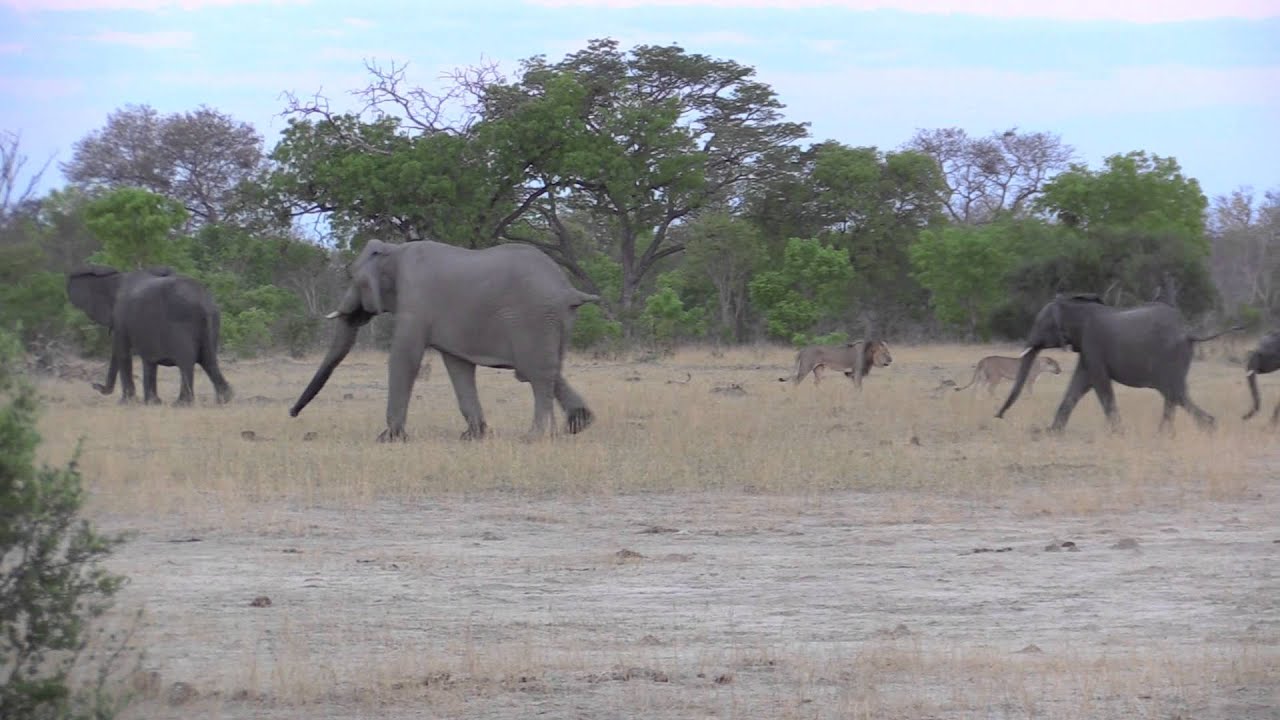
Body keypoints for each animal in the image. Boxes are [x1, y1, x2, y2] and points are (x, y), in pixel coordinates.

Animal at [67, 265, 233, 406]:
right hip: (213, 322)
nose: (95, 385)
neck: (116, 278)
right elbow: (149, 359)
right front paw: (153, 403)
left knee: (186, 362)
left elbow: (123, 353)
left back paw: (181, 404)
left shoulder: (121, 317)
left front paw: (127, 403)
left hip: (183, 322)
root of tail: (204, 300)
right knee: (208, 360)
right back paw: (224, 400)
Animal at [289, 239, 601, 442]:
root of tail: (569, 290)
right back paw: (580, 424)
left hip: (533, 318)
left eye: (354, 278)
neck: (395, 250)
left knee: (535, 374)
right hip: (553, 321)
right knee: (548, 369)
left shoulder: (415, 300)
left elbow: (404, 357)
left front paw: (388, 438)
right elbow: (457, 365)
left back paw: (534, 436)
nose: (292, 414)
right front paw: (472, 436)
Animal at [994, 293, 1241, 433]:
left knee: (1174, 393)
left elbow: (1100, 384)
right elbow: (1078, 385)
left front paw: (1118, 433)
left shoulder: (1093, 343)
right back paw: (1166, 434)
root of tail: (1188, 333)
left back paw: (1209, 427)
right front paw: (1052, 432)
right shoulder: (1086, 349)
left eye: (1041, 326)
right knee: (1174, 395)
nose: (999, 417)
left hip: (1168, 358)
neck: (1075, 307)